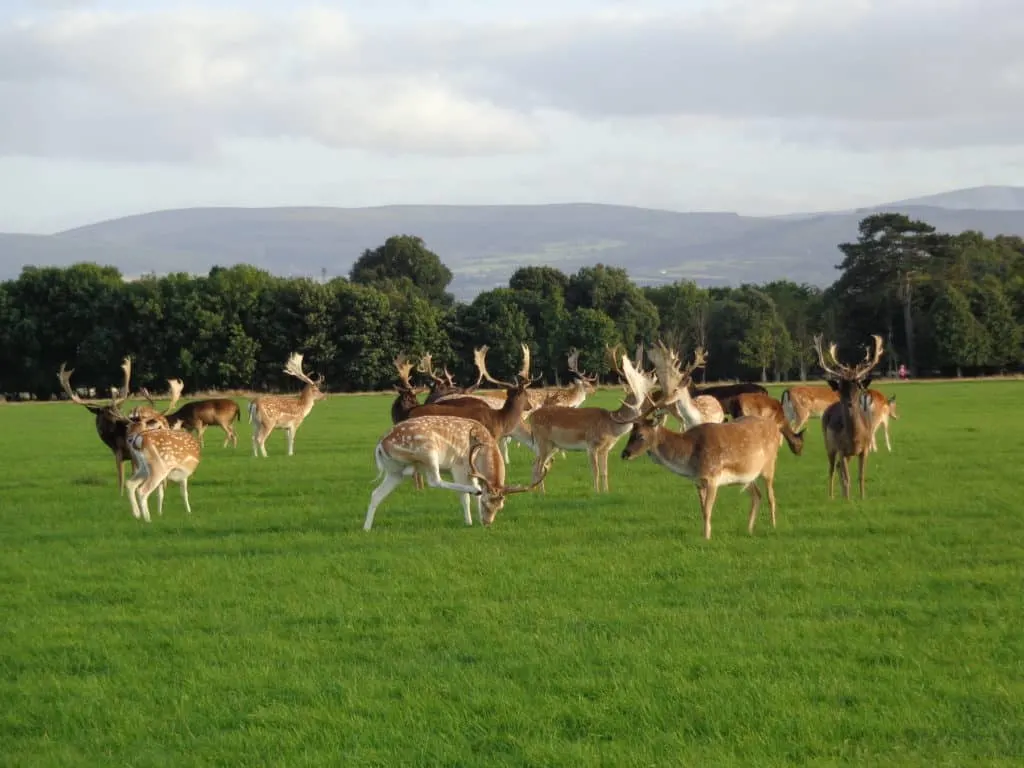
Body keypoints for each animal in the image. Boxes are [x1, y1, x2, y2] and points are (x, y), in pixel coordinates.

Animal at [57, 358, 135, 495]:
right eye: (107, 412)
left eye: (118, 410)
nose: (126, 421)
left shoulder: (120, 452)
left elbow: (121, 482)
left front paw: (121, 496)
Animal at [364, 417, 548, 532]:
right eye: (486, 503)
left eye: (500, 506)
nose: (487, 523)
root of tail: (380, 445)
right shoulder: (460, 466)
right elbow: (464, 497)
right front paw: (469, 521)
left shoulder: (472, 473)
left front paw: (476, 518)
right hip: (428, 452)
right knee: (434, 480)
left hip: (395, 471)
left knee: (376, 493)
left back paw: (366, 528)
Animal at [528, 350, 655, 493]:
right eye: (642, 395)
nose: (653, 404)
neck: (611, 426)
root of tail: (531, 417)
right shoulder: (592, 444)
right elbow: (595, 471)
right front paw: (597, 492)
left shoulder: (605, 449)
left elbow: (605, 472)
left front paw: (606, 492)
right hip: (543, 441)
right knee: (540, 467)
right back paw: (542, 493)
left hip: (551, 445)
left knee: (534, 464)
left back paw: (532, 491)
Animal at [618, 339, 794, 544]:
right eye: (630, 432)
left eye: (641, 435)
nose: (625, 453)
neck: (689, 459)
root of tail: (774, 427)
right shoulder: (698, 481)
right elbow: (703, 510)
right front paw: (705, 534)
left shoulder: (712, 477)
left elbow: (708, 510)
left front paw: (707, 537)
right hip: (747, 474)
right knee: (756, 494)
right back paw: (749, 529)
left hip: (769, 464)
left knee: (771, 496)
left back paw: (773, 526)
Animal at [811, 333, 884, 501]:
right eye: (841, 387)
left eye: (857, 386)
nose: (850, 403)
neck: (855, 438)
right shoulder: (841, 449)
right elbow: (847, 478)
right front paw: (848, 500)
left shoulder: (864, 449)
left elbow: (861, 476)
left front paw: (862, 497)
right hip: (829, 445)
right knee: (832, 468)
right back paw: (831, 496)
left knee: (837, 467)